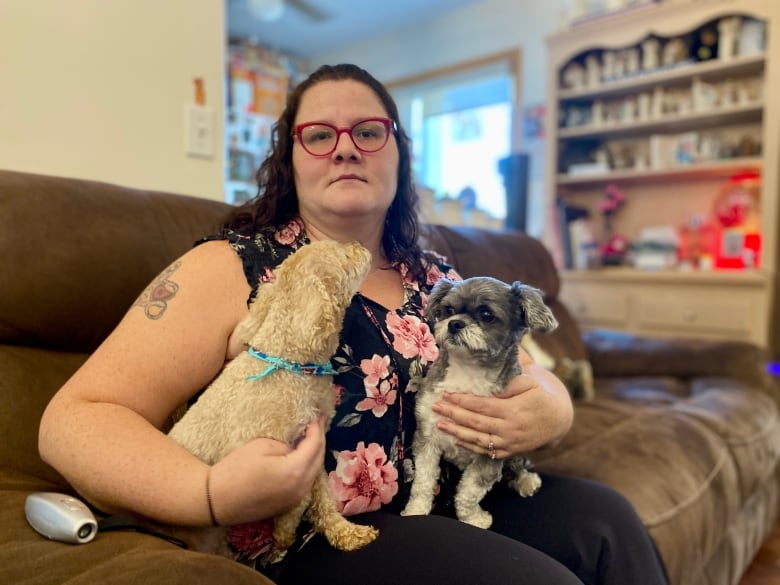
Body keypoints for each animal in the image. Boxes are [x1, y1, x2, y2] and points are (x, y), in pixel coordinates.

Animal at [169, 237, 380, 552]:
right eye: (344, 254)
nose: (359, 243)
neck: (289, 364)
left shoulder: (312, 448)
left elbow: (323, 499)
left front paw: (346, 533)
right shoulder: (266, 448)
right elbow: (298, 497)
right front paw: (284, 532)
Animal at [402, 276, 560, 528]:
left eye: (486, 315)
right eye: (449, 310)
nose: (455, 323)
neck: (467, 373)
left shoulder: (490, 455)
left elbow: (468, 493)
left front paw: (473, 519)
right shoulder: (427, 439)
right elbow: (423, 483)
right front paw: (416, 511)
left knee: (517, 465)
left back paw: (525, 481)